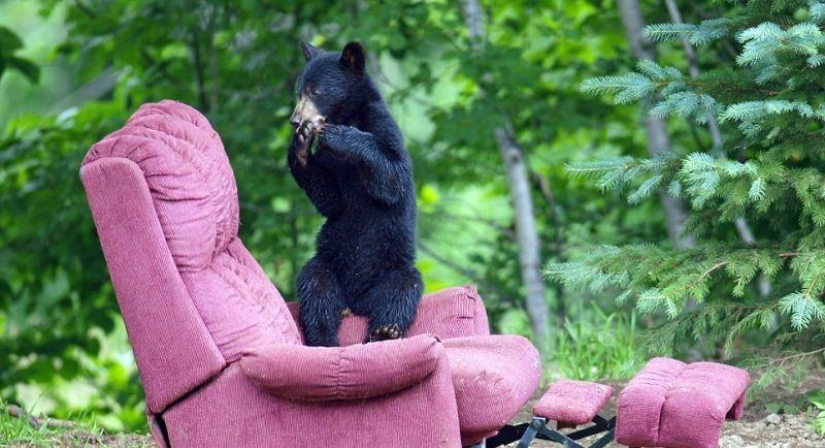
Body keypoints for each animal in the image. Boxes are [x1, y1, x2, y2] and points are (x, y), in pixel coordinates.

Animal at [286, 41, 422, 346]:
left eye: (316, 92)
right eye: (299, 92)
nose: (296, 121)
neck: (347, 115)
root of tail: (356, 302)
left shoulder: (383, 127)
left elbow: (392, 178)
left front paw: (338, 136)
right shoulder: (327, 164)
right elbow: (331, 200)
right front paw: (300, 145)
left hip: (393, 268)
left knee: (402, 290)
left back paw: (385, 331)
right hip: (328, 263)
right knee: (316, 288)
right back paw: (324, 337)